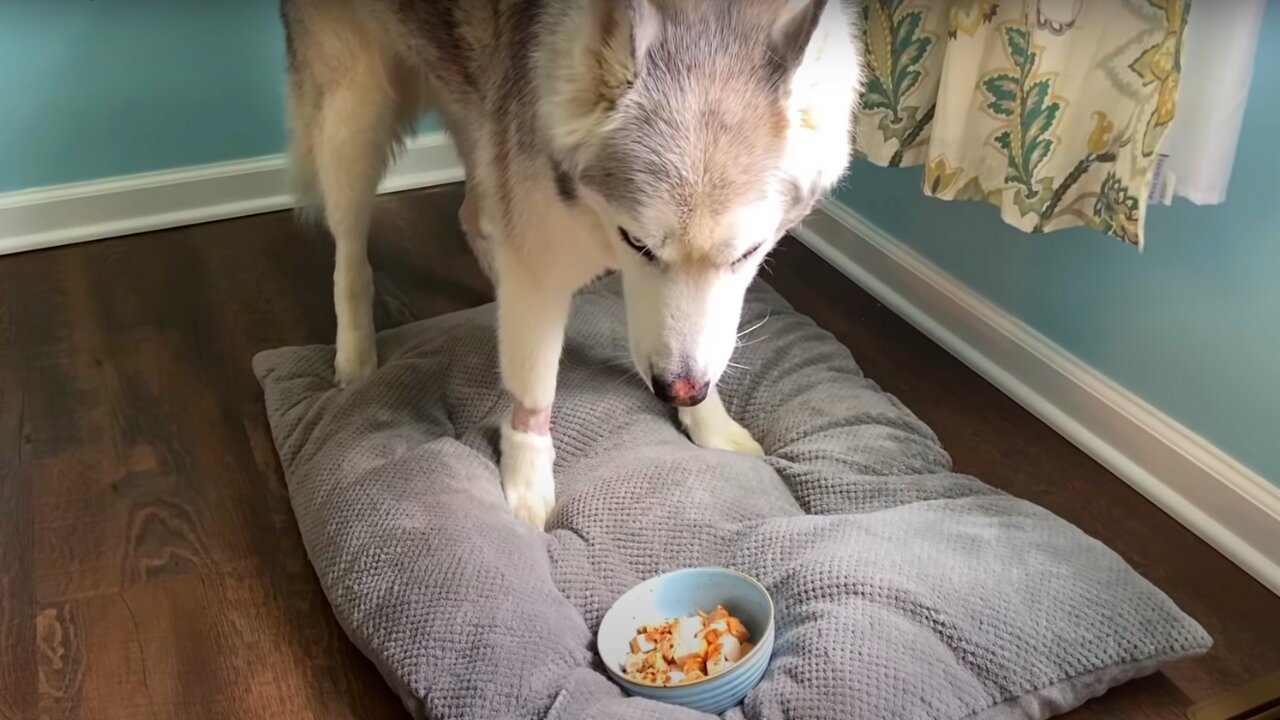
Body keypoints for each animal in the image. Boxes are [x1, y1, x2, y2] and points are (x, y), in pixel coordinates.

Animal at [280, 1, 860, 527]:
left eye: (747, 253)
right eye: (639, 243)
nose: (678, 390)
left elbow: (702, 349)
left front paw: (708, 421)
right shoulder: (540, 249)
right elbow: (535, 382)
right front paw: (527, 478)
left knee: (476, 215)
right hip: (357, 113)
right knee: (349, 253)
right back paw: (356, 353)